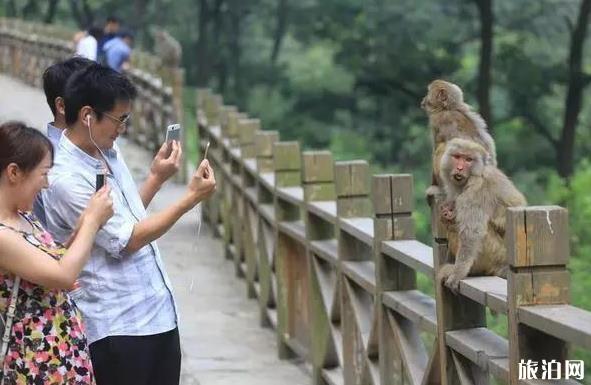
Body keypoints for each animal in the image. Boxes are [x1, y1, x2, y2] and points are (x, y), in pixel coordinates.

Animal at [434, 138, 528, 292]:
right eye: (457, 157)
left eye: (468, 159)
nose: (460, 168)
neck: (474, 174)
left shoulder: (477, 189)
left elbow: (472, 233)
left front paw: (458, 273)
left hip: (496, 255)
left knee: (458, 226)